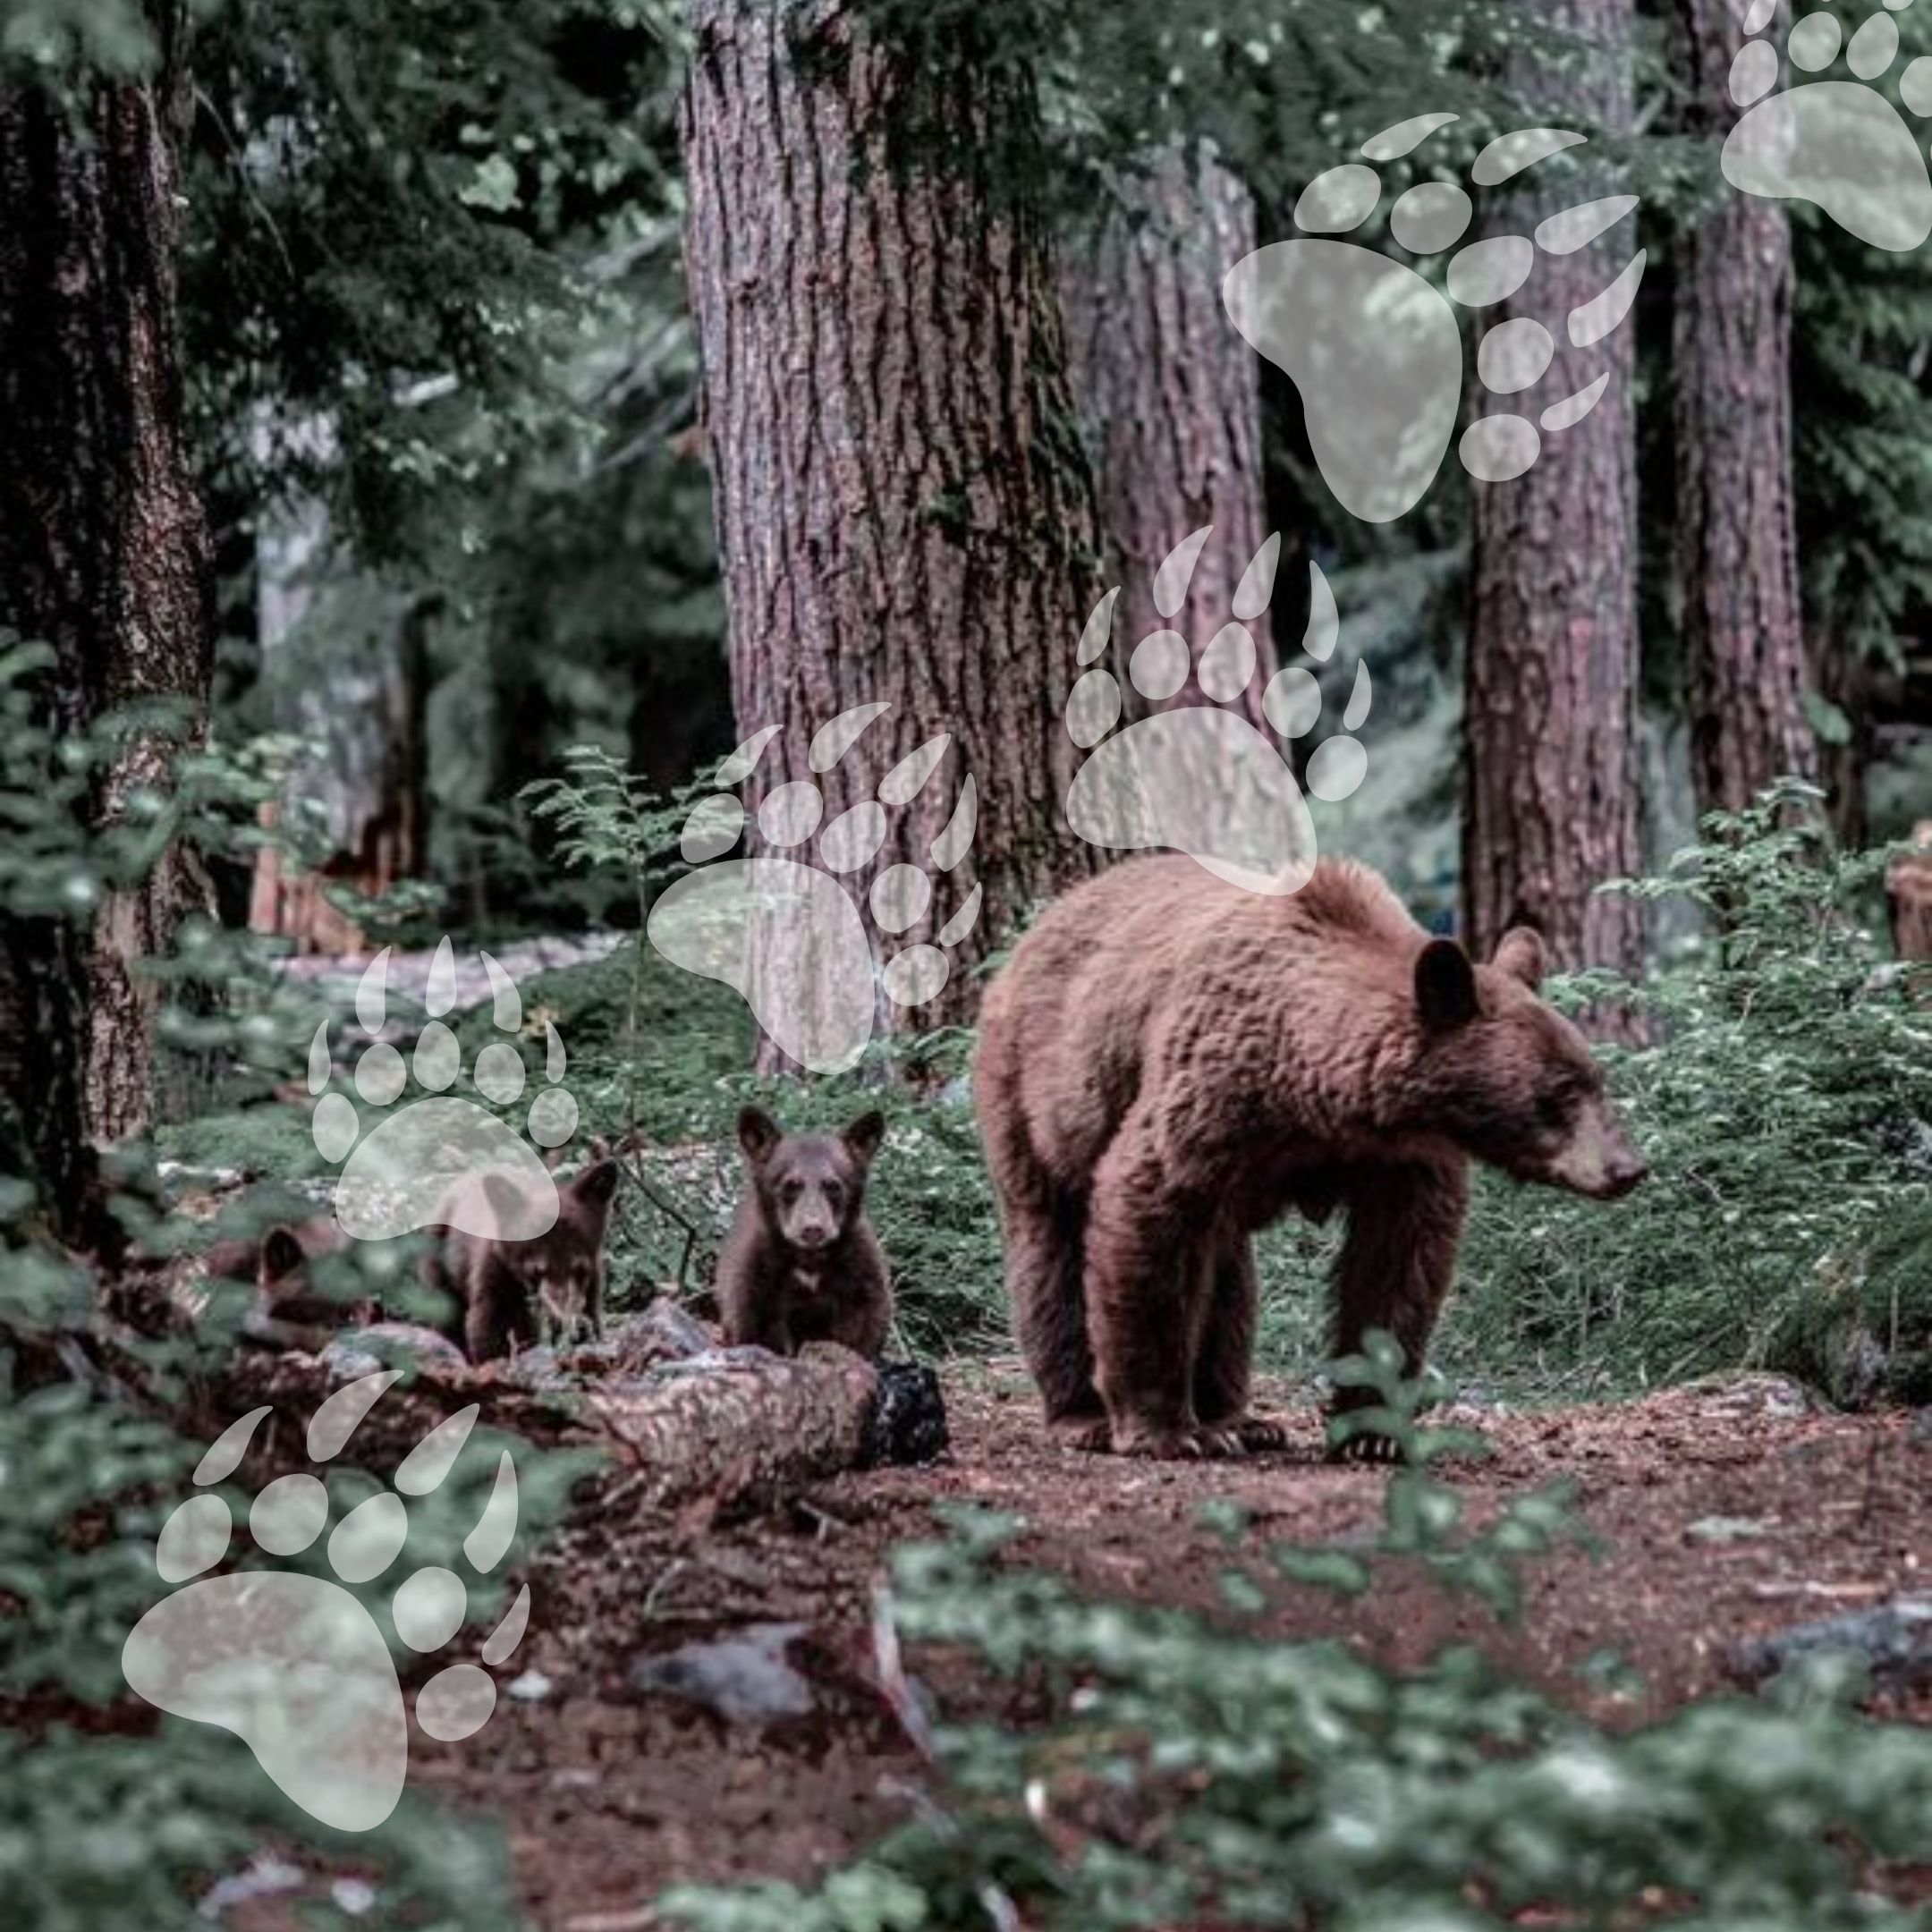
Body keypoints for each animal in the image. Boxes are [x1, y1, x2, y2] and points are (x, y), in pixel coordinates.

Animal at [716, 1106, 893, 1361]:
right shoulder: (755, 1276)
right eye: (790, 1185)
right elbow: (751, 1326)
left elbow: (866, 1325)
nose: (813, 1229)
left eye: (833, 1186)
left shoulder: (860, 1272)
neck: (809, 1259)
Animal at [974, 853, 1647, 1460]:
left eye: (1596, 1078)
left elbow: (1396, 1266)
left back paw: (1240, 1420)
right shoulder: (1210, 1095)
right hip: (1034, 1097)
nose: (1629, 1168)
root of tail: (1036, 930)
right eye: (1558, 1093)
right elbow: (1148, 1208)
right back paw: (1086, 1416)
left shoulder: (1398, 1160)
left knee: (1229, 1285)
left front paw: (1374, 1428)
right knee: (1050, 1257)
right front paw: (1163, 1429)